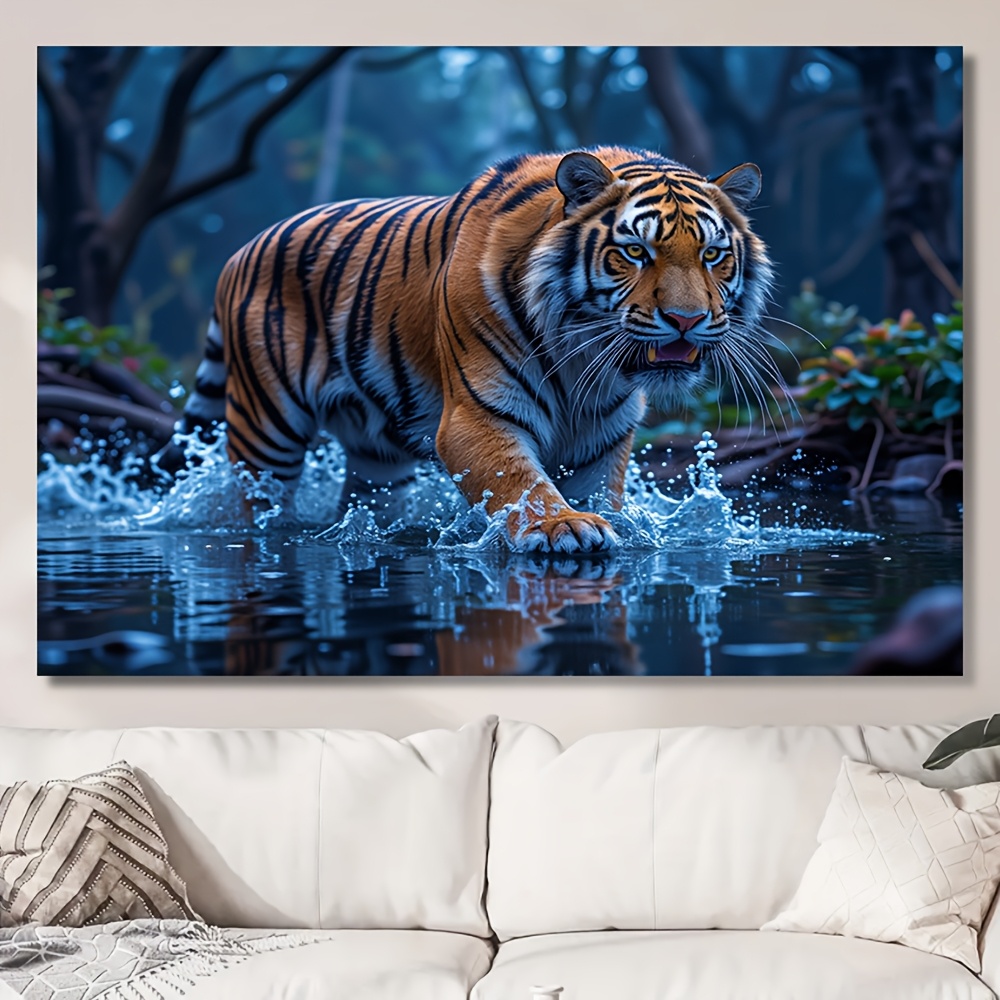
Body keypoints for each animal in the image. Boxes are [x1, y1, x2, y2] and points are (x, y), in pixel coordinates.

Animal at [174, 146, 773, 553]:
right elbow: (521, 481)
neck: (583, 358)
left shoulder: (600, 436)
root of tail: (241, 250)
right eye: (635, 252)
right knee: (256, 500)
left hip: (377, 458)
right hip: (265, 427)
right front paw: (563, 527)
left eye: (713, 255)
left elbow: (598, 492)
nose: (686, 320)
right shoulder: (476, 416)